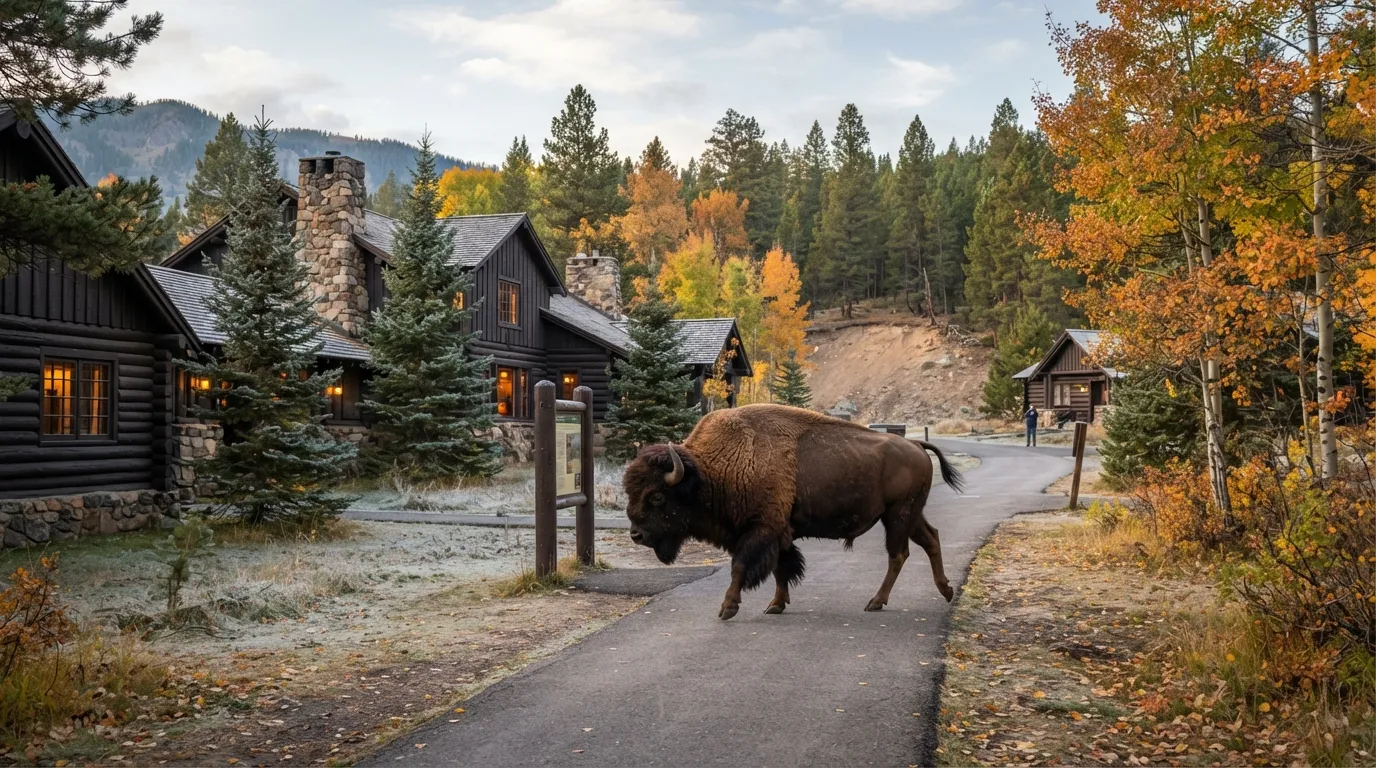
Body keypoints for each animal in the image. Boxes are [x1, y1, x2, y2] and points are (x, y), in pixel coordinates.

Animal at [623, 404, 964, 620]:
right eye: (630, 491)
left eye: (657, 497)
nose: (636, 535)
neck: (709, 472)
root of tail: (917, 446)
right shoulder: (776, 532)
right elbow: (781, 568)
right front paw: (776, 605)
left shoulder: (761, 529)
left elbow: (741, 567)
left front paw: (728, 608)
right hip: (910, 515)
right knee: (930, 539)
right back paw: (946, 591)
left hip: (897, 515)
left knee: (898, 554)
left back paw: (876, 602)